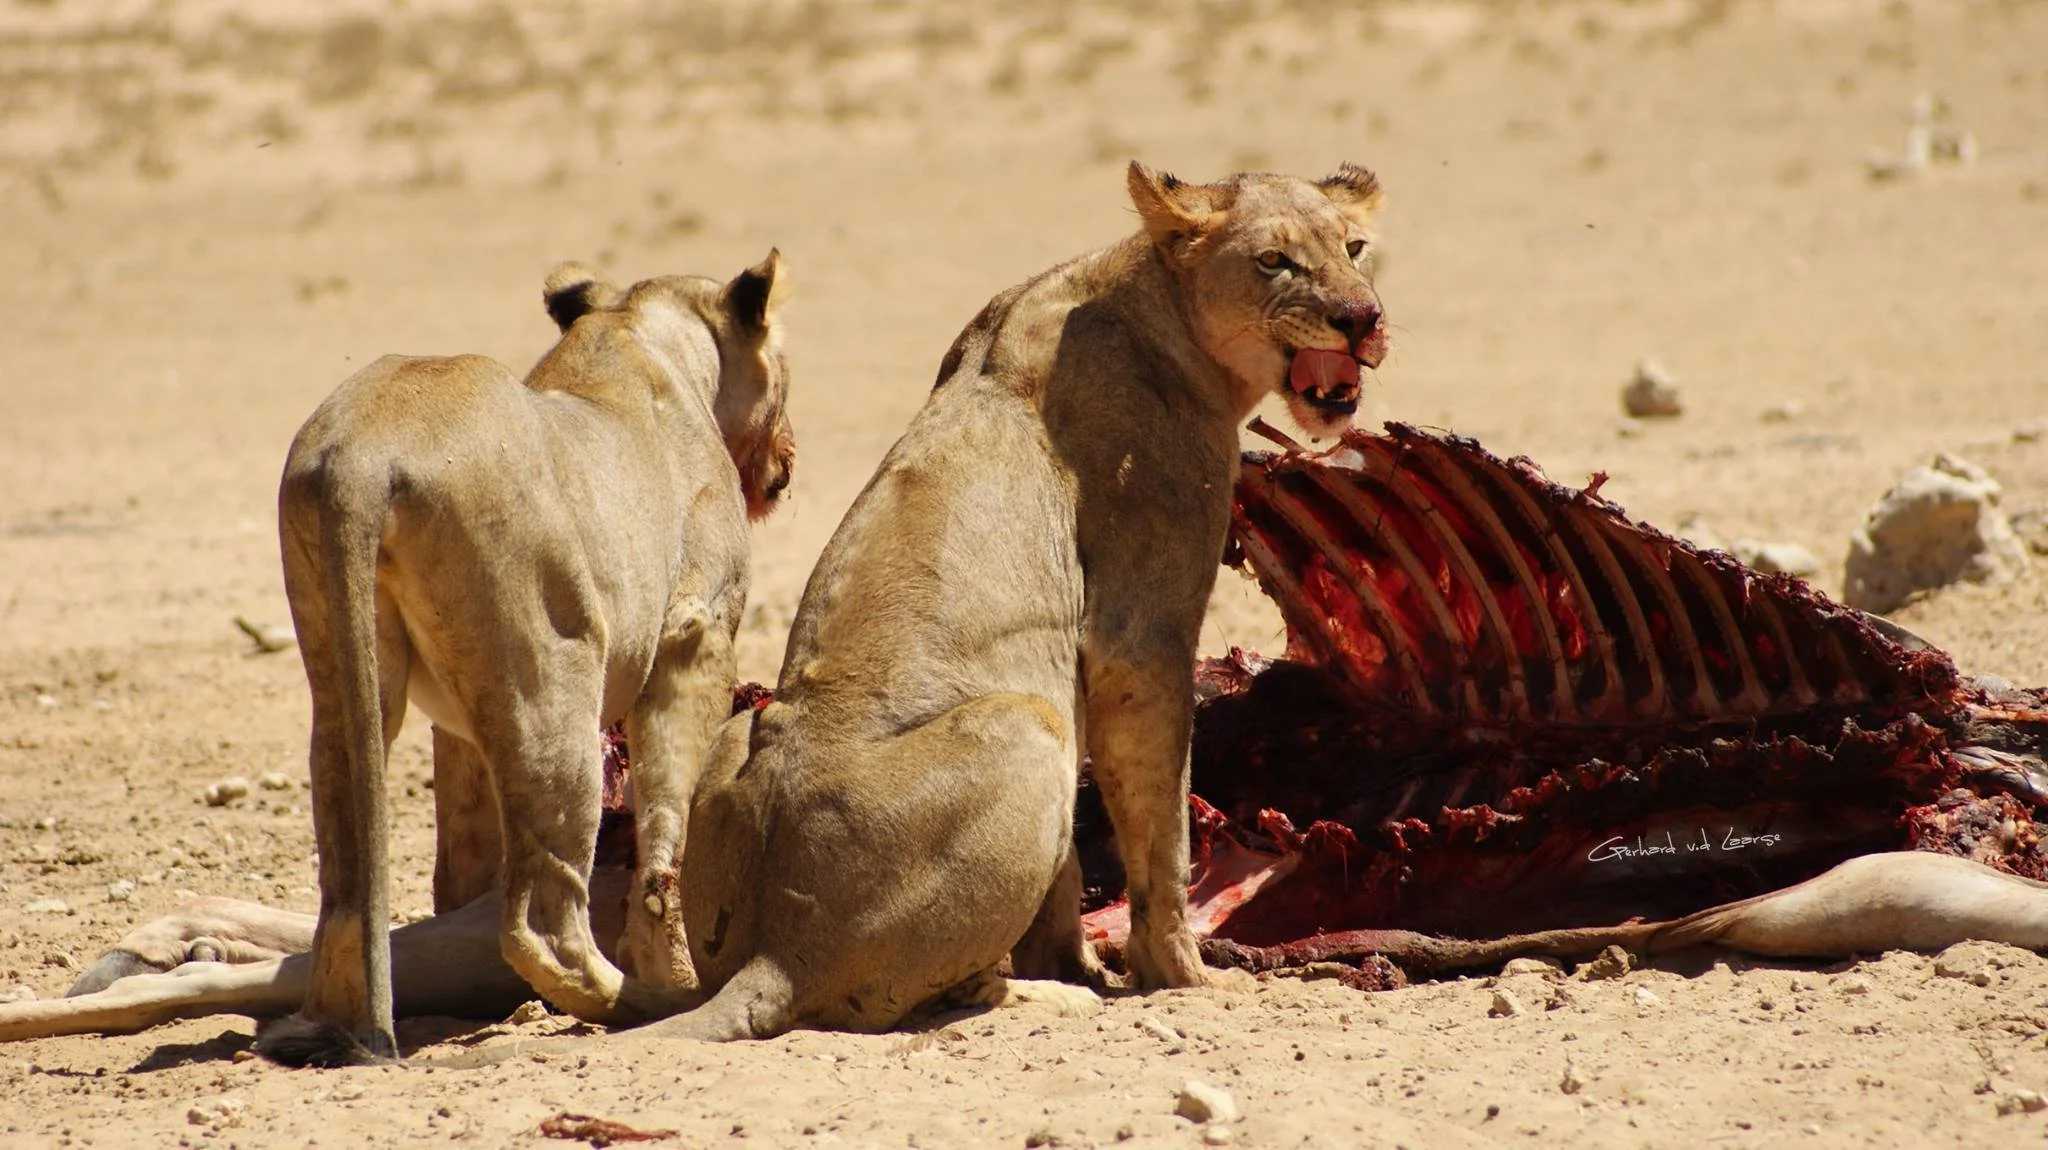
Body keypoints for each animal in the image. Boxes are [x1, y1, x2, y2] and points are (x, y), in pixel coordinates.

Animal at [258, 252, 794, 1064]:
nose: (788, 459)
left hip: (347, 669)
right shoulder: (696, 629)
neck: (636, 329)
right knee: (544, 920)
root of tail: (361, 458)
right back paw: (636, 1002)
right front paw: (663, 949)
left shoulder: (461, 725)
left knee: (349, 882)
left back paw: (325, 1025)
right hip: (556, 684)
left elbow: (464, 853)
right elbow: (668, 819)